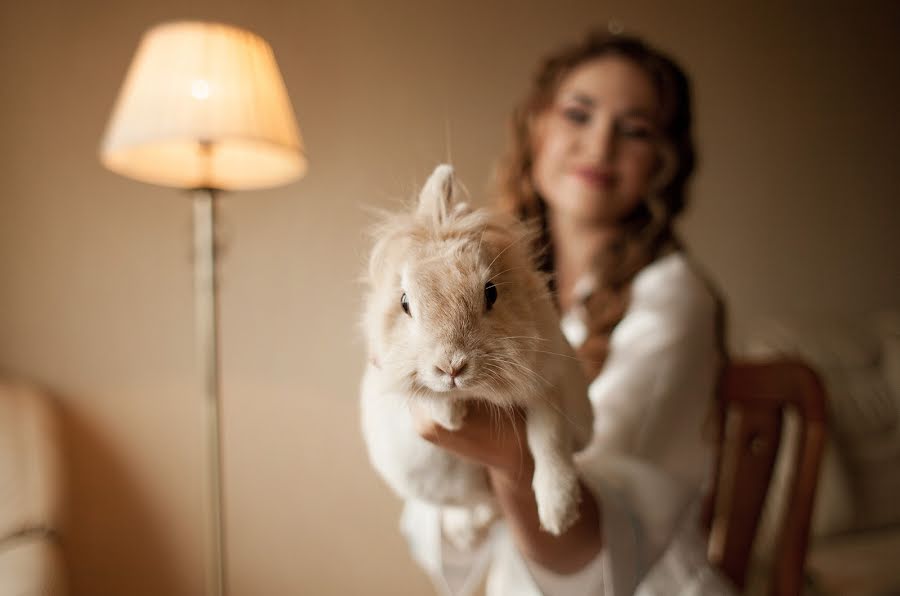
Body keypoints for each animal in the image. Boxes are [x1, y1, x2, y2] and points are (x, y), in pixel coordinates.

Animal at [358, 163, 596, 544]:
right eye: (405, 302)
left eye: (491, 292)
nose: (451, 367)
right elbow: (421, 391)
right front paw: (449, 415)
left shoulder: (548, 386)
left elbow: (549, 441)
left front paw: (559, 515)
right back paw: (466, 529)